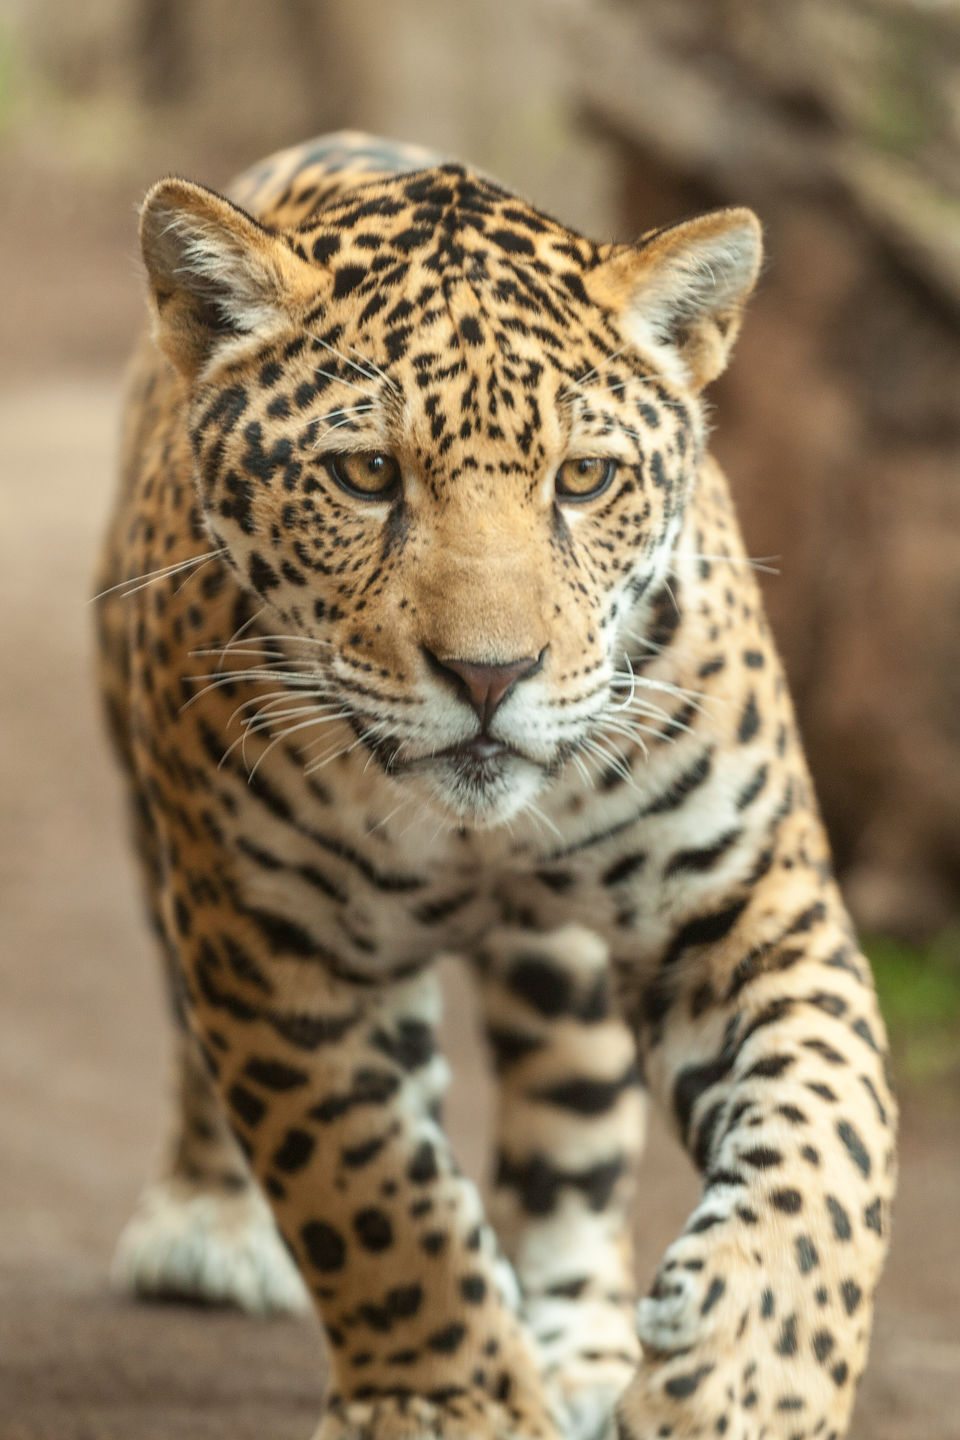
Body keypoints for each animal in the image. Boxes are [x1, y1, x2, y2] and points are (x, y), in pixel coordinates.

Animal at [95, 130, 897, 1440]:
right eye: (367, 473)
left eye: (584, 479)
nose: (489, 674)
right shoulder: (270, 945)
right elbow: (370, 1189)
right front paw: (443, 1402)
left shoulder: (749, 906)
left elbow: (830, 1141)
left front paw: (745, 1381)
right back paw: (207, 1225)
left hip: (563, 971)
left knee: (570, 1135)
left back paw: (581, 1352)